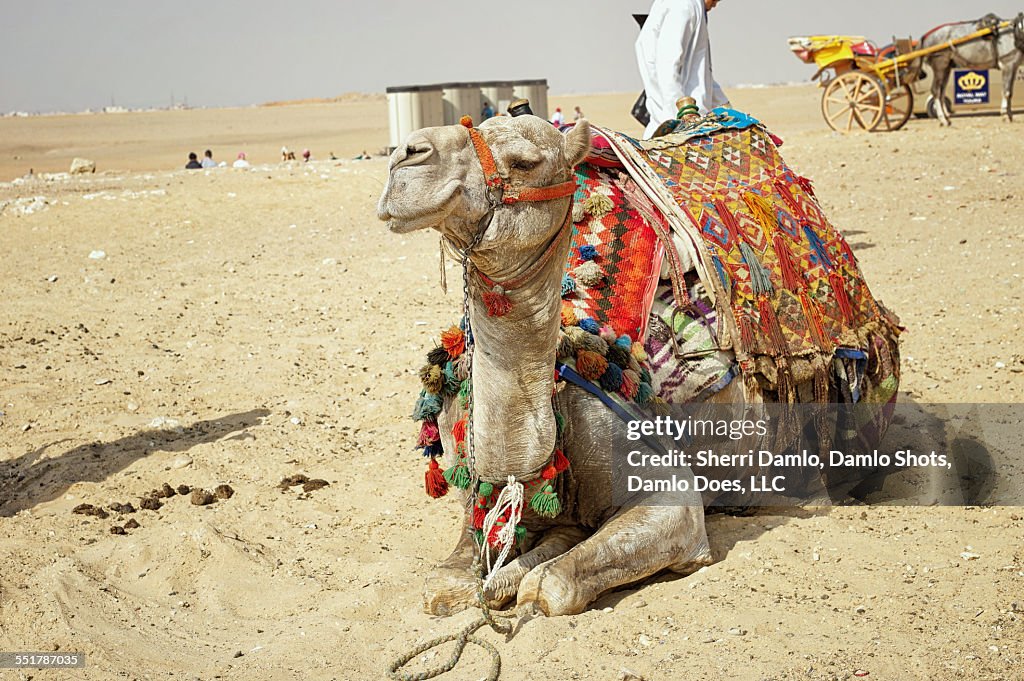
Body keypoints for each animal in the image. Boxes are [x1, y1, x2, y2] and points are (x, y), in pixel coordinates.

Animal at [376, 112, 897, 614]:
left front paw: (528, 576)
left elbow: (550, 585)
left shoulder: (669, 493)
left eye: (524, 161)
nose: (407, 154)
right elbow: (444, 585)